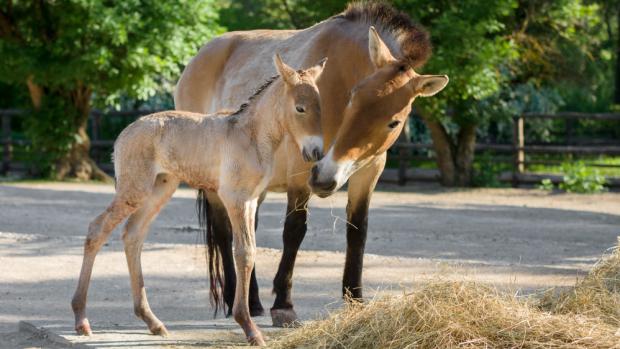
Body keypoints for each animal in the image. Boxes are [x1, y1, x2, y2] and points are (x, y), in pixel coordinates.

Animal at [71, 55, 326, 346]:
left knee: (133, 235)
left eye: (321, 105)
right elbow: (244, 252)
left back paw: (153, 322)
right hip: (134, 190)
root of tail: (123, 134)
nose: (316, 152)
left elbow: (249, 252)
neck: (250, 135)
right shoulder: (235, 198)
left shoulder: (251, 200)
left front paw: (249, 322)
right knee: (97, 229)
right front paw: (249, 327)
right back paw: (81, 320)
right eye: (300, 108)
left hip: (160, 189)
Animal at [172, 2, 448, 326]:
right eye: (353, 98)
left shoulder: (368, 173)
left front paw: (355, 299)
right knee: (226, 231)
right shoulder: (301, 173)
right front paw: (284, 304)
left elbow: (357, 229)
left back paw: (252, 301)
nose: (325, 179)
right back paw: (232, 299)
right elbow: (294, 231)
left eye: (394, 121)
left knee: (246, 228)